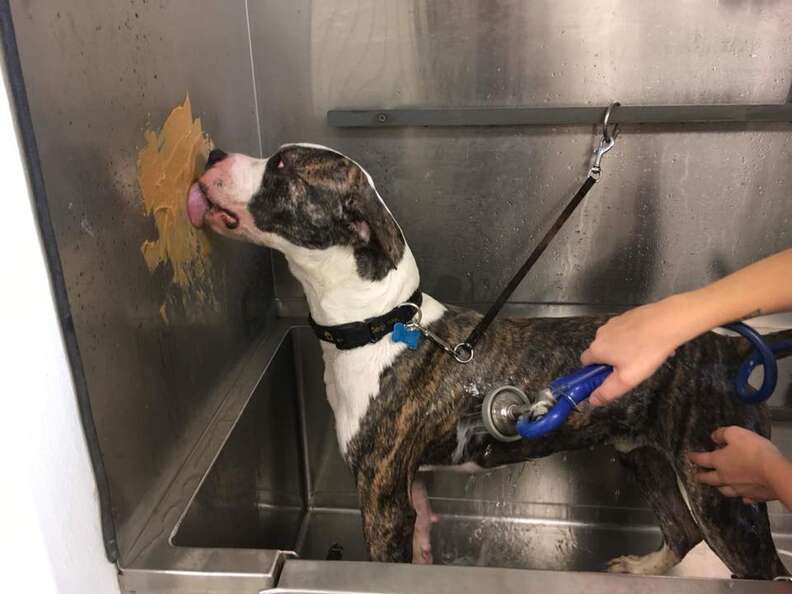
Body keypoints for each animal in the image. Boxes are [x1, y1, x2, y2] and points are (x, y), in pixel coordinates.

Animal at [187, 143, 792, 580]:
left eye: (280, 164)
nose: (211, 155)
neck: (380, 325)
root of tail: (735, 346)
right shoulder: (411, 487)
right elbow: (421, 550)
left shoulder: (382, 500)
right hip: (639, 453)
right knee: (682, 531)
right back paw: (642, 568)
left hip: (720, 487)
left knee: (760, 564)